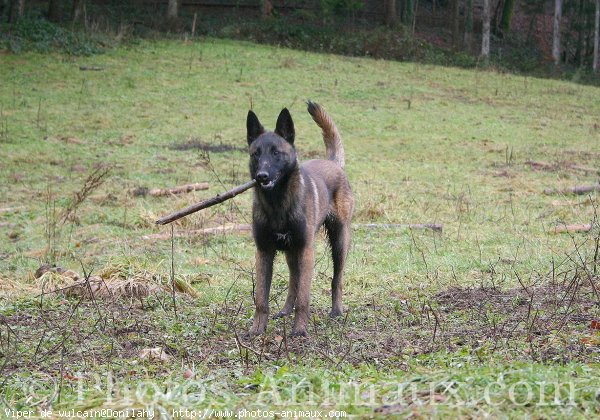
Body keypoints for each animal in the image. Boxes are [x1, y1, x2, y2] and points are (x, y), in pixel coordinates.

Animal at [246, 102, 354, 338]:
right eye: (256, 154)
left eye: (276, 153)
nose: (262, 176)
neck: (278, 203)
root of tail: (333, 163)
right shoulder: (264, 252)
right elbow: (261, 299)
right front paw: (257, 328)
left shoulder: (306, 250)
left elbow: (304, 297)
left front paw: (300, 330)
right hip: (290, 252)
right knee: (293, 281)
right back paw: (286, 310)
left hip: (339, 242)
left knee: (337, 279)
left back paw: (337, 310)